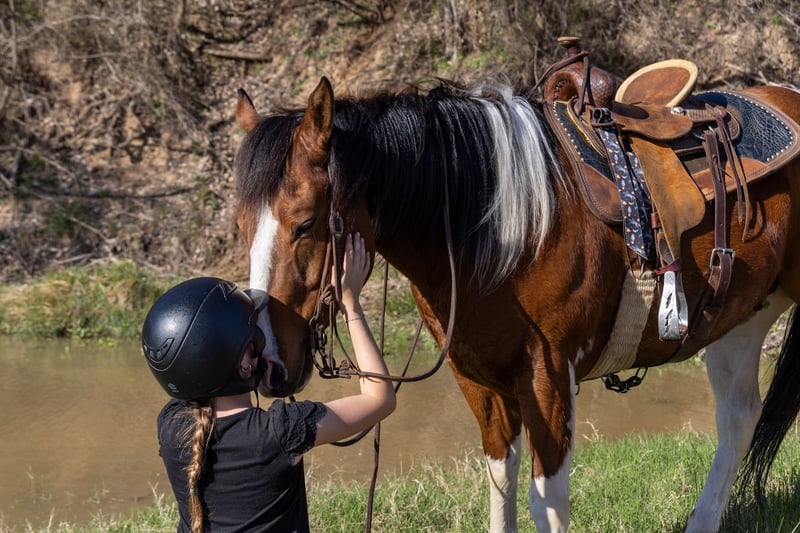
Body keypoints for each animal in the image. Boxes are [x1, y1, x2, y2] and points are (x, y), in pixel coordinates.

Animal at [232, 72, 800, 532]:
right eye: (241, 226)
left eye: (305, 223)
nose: (270, 363)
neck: (504, 226)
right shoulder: (479, 379)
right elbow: (499, 487)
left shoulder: (549, 377)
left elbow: (547, 504)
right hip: (741, 319)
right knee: (738, 418)